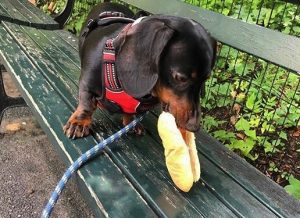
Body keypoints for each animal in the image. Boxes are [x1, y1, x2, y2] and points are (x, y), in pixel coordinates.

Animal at [63, 2, 216, 138]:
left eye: (205, 79)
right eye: (181, 78)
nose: (194, 127)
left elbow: (130, 112)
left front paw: (131, 122)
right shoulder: (86, 84)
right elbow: (87, 103)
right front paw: (79, 123)